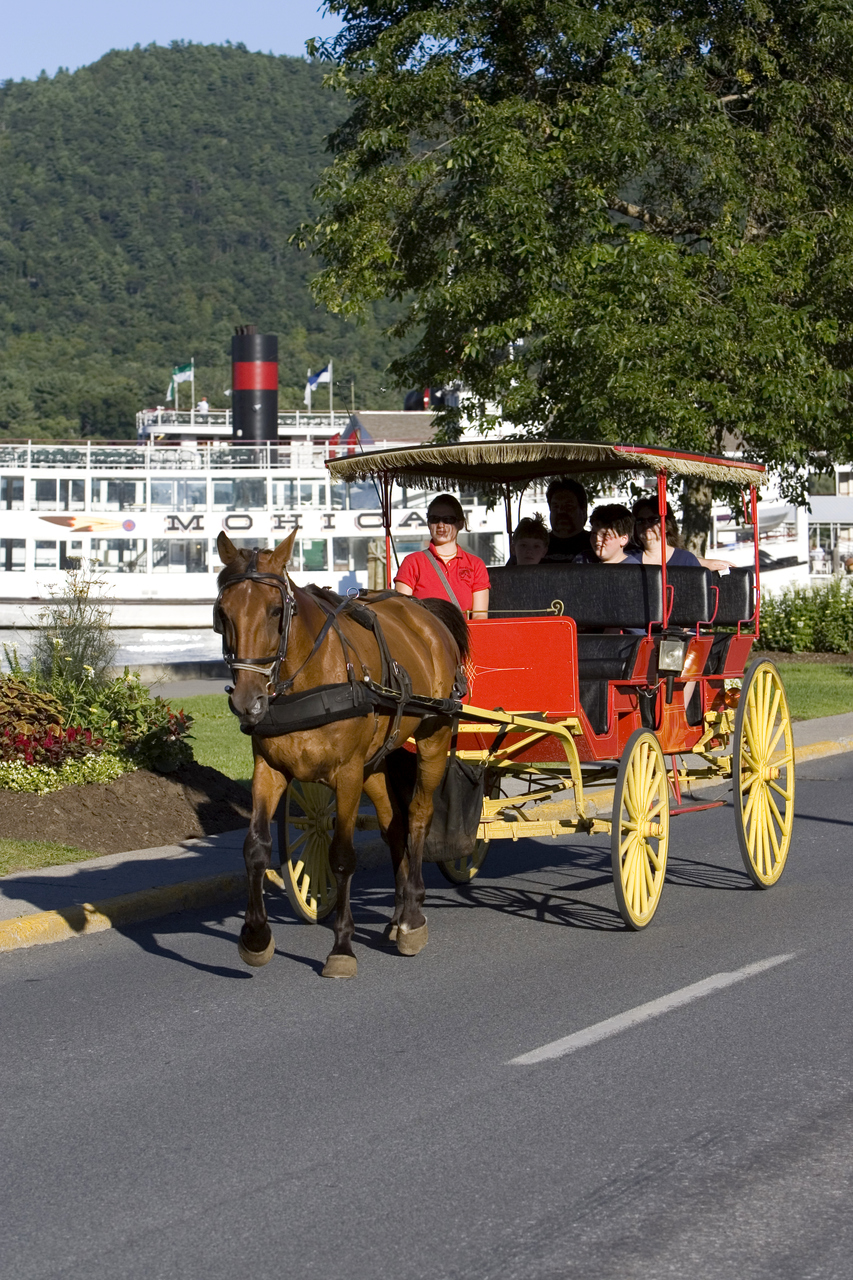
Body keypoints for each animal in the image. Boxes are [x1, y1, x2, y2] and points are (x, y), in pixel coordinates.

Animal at [211, 529, 466, 977]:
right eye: (222, 613)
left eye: (276, 611)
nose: (247, 701)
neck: (307, 677)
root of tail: (424, 613)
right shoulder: (269, 769)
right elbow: (255, 848)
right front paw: (256, 936)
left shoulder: (347, 774)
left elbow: (343, 856)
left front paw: (343, 946)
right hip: (378, 760)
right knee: (394, 825)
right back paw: (397, 916)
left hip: (433, 738)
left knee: (419, 817)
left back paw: (412, 917)